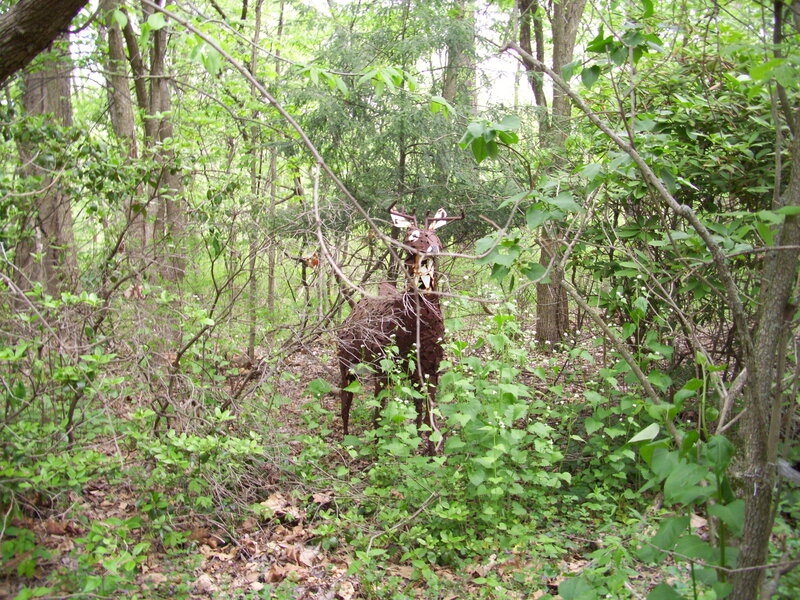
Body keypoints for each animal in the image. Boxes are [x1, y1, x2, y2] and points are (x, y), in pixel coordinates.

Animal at [336, 203, 463, 451]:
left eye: (436, 234)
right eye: (411, 234)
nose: (434, 247)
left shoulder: (429, 370)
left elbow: (427, 415)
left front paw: (430, 451)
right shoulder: (383, 366)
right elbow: (379, 412)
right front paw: (377, 450)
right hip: (345, 360)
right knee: (345, 399)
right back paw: (345, 439)